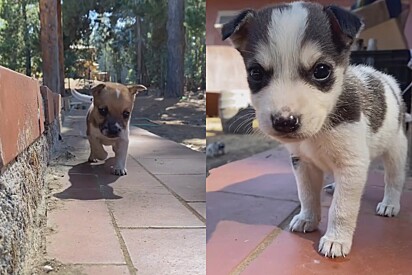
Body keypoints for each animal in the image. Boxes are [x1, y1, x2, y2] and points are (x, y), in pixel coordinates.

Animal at [222, 1, 406, 258]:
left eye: (321, 70)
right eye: (255, 73)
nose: (285, 121)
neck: (320, 130)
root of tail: (384, 77)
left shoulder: (351, 164)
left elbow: (342, 207)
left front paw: (336, 239)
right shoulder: (303, 163)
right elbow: (307, 194)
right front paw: (307, 218)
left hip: (396, 151)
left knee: (394, 180)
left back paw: (390, 203)